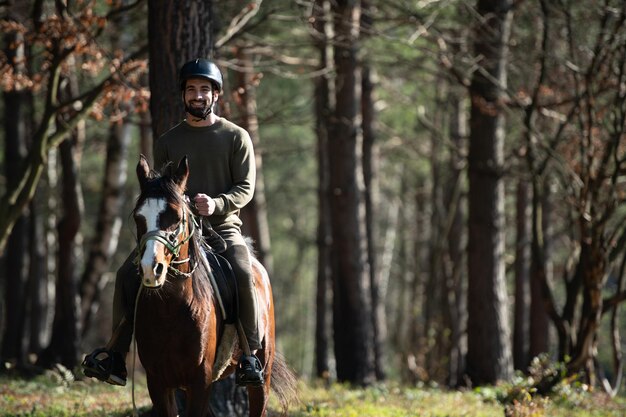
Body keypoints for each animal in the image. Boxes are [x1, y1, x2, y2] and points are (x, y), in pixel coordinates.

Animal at [130, 155, 294, 416]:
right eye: (138, 217)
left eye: (176, 216)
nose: (150, 269)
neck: (170, 310)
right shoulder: (158, 382)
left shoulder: (200, 380)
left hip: (262, 376)